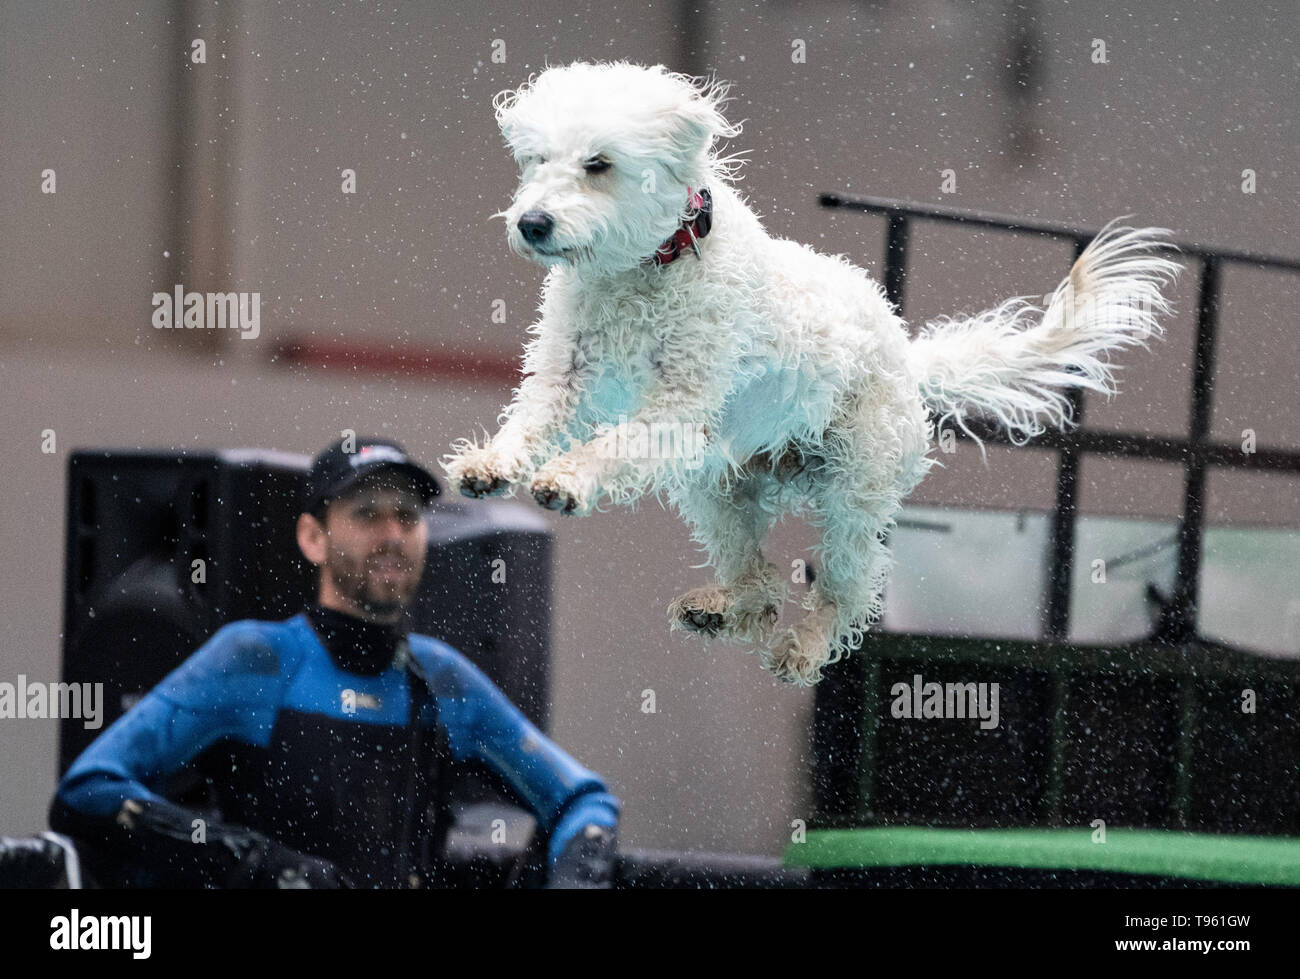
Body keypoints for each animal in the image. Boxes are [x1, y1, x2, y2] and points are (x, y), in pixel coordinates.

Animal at [441, 59, 1185, 686]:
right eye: (537, 160)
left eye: (599, 164)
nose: (532, 223)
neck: (650, 264)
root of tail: (906, 356)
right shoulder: (566, 378)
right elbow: (532, 421)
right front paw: (490, 464)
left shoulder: (678, 405)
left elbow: (610, 444)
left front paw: (567, 480)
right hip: (716, 487)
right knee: (764, 585)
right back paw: (720, 609)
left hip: (856, 489)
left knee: (847, 587)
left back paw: (803, 646)